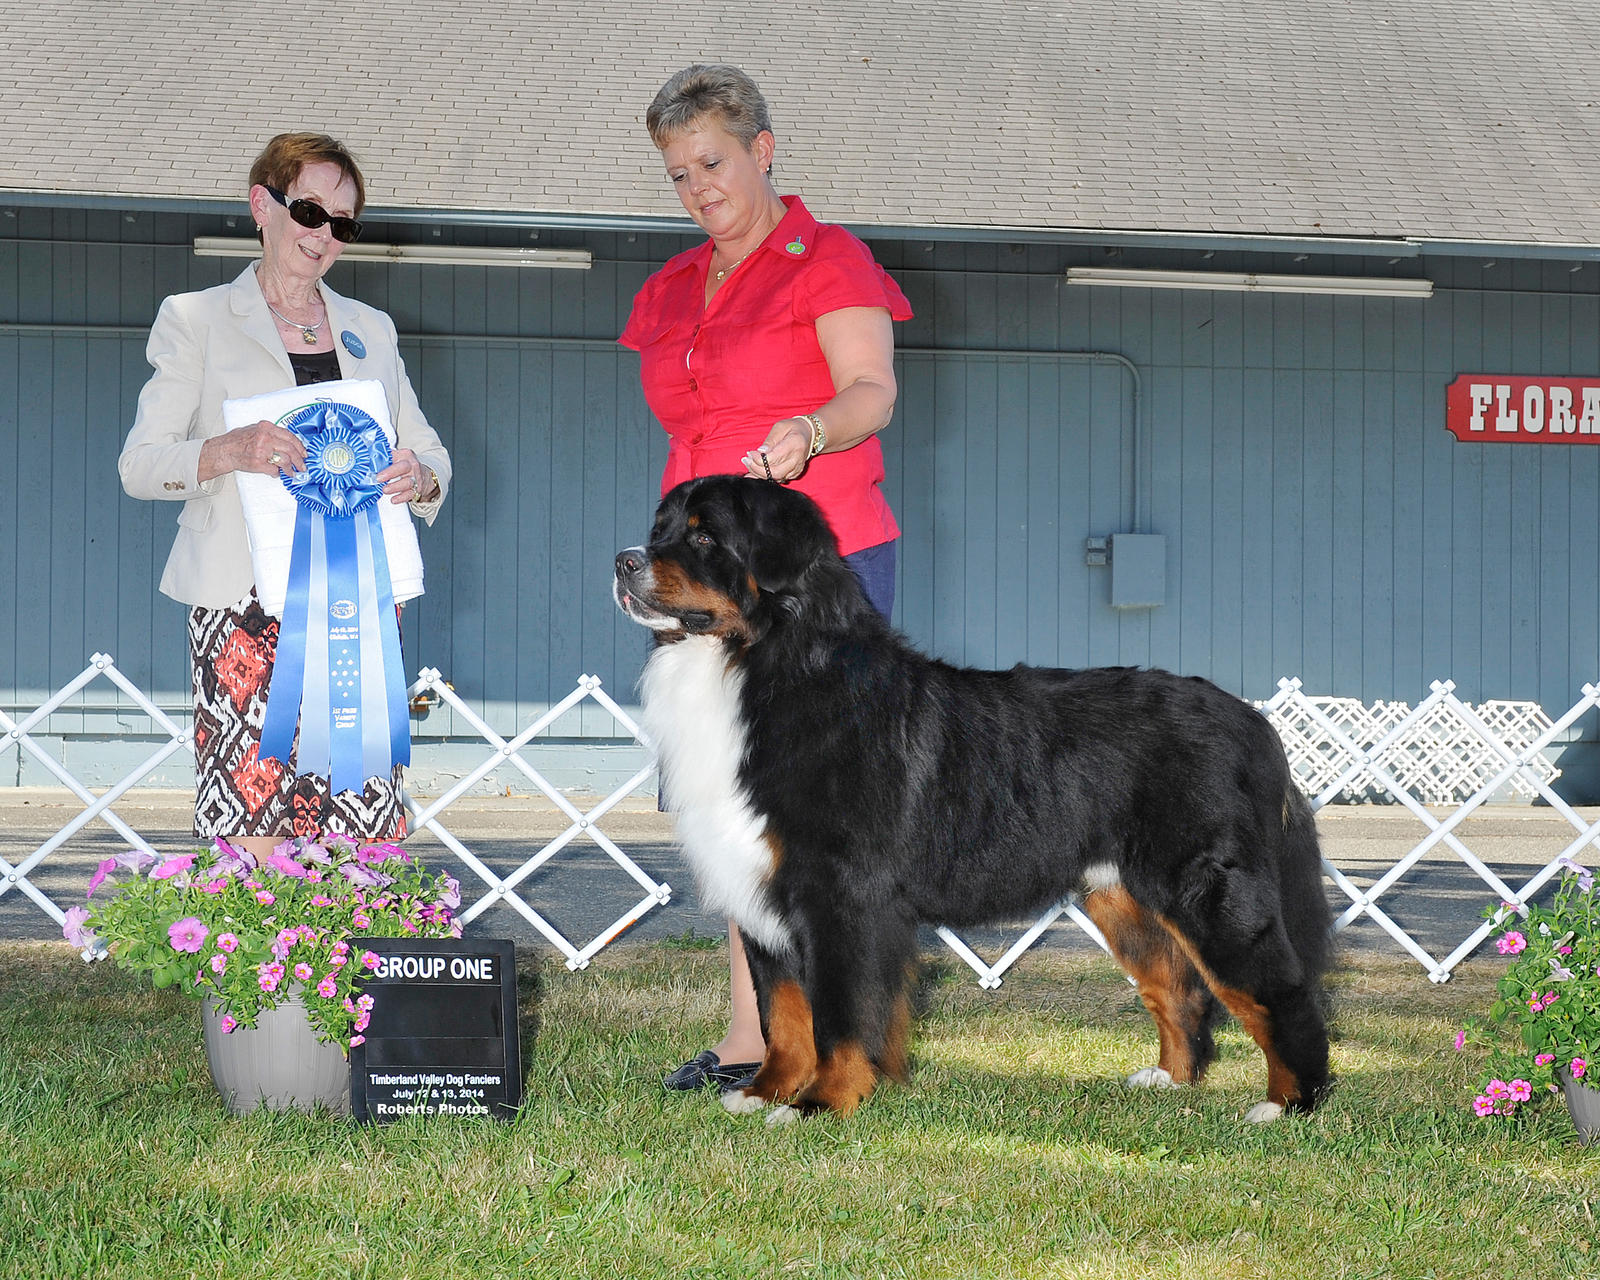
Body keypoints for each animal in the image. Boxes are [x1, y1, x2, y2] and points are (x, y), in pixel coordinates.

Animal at [617, 473, 1331, 1126]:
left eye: (704, 537)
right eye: (660, 529)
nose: (623, 561)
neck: (758, 665)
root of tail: (1247, 717)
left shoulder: (838, 895)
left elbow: (839, 1016)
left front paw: (822, 1102)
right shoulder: (760, 886)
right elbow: (783, 1014)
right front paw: (765, 1092)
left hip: (1209, 893)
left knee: (1282, 992)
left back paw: (1288, 1105)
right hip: (1121, 895)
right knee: (1178, 990)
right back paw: (1170, 1081)